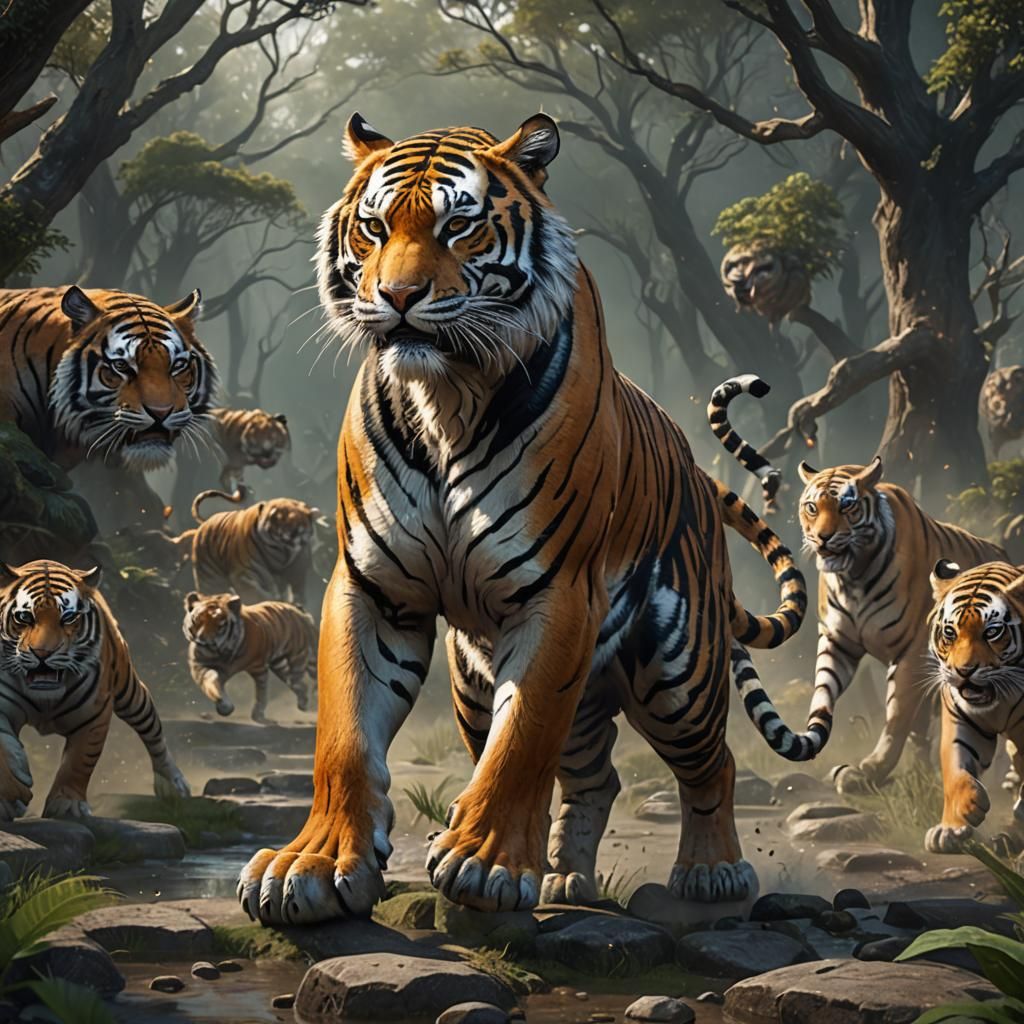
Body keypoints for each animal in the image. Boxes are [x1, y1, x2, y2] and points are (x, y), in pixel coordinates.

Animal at [0, 559, 190, 819]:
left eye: (68, 618)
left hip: (130, 693)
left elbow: (79, 761)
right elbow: (4, 751)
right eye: (24, 617)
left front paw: (67, 805)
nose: (42, 654)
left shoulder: (93, 716)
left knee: (153, 731)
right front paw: (13, 792)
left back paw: (173, 785)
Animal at [176, 486, 318, 608]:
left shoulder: (297, 571)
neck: (281, 552)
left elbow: (297, 591)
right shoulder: (243, 574)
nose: (291, 532)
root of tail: (204, 523)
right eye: (276, 516)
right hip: (210, 579)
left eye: (299, 518)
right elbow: (255, 595)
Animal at [183, 591, 316, 725]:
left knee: (301, 679)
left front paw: (258, 716)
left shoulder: (258, 668)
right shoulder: (200, 666)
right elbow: (211, 684)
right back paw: (304, 702)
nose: (202, 641)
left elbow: (261, 693)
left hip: (298, 657)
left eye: (219, 624)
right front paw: (225, 707)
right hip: (281, 666)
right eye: (197, 620)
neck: (221, 650)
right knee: (297, 682)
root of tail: (298, 609)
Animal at [237, 112, 809, 926]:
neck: (445, 394)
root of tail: (697, 470)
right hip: (480, 683)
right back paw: (568, 878)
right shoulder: (370, 587)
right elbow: (345, 735)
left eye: (458, 226)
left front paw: (482, 864)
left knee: (714, 763)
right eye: (375, 228)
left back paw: (712, 873)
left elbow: (523, 738)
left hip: (676, 672)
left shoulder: (559, 591)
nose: (398, 295)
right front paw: (311, 865)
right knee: (595, 774)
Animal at [925, 559, 1024, 852]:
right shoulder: (962, 719)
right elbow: (955, 768)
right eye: (950, 632)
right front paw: (956, 820)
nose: (964, 671)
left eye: (991, 632)